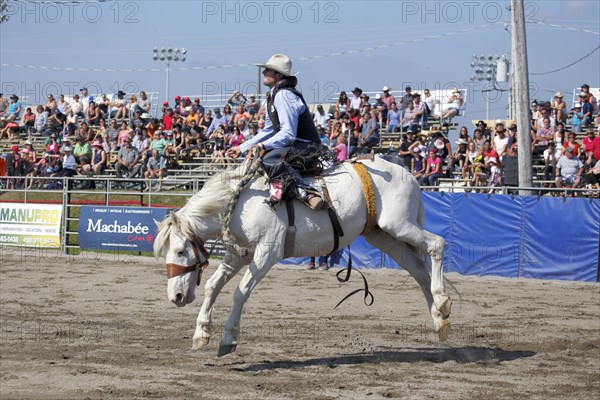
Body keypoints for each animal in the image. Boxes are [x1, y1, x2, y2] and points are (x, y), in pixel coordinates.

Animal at [154, 157, 450, 356]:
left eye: (180, 251)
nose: (175, 296)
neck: (242, 203)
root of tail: (405, 172)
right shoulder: (240, 254)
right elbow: (214, 285)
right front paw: (201, 332)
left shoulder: (266, 253)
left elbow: (240, 292)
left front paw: (228, 339)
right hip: (384, 235)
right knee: (418, 271)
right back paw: (439, 320)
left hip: (398, 225)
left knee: (437, 245)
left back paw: (442, 301)